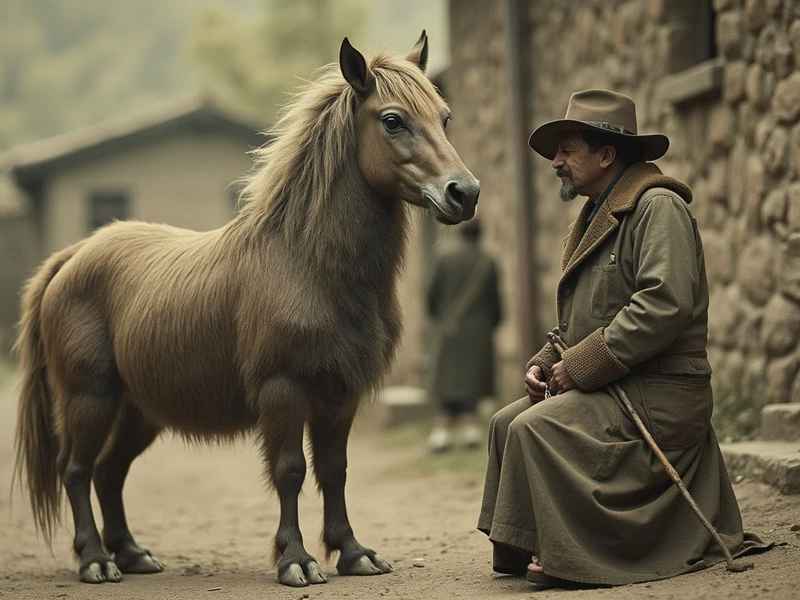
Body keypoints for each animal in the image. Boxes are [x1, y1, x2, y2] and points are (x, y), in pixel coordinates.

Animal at [13, 32, 479, 588]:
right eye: (392, 120)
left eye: (445, 117)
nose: (464, 193)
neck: (307, 264)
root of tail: (74, 256)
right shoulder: (283, 390)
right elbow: (290, 471)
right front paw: (295, 560)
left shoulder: (340, 393)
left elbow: (334, 470)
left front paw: (352, 553)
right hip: (90, 398)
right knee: (77, 470)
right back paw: (96, 561)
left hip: (139, 410)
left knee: (109, 472)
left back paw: (131, 554)